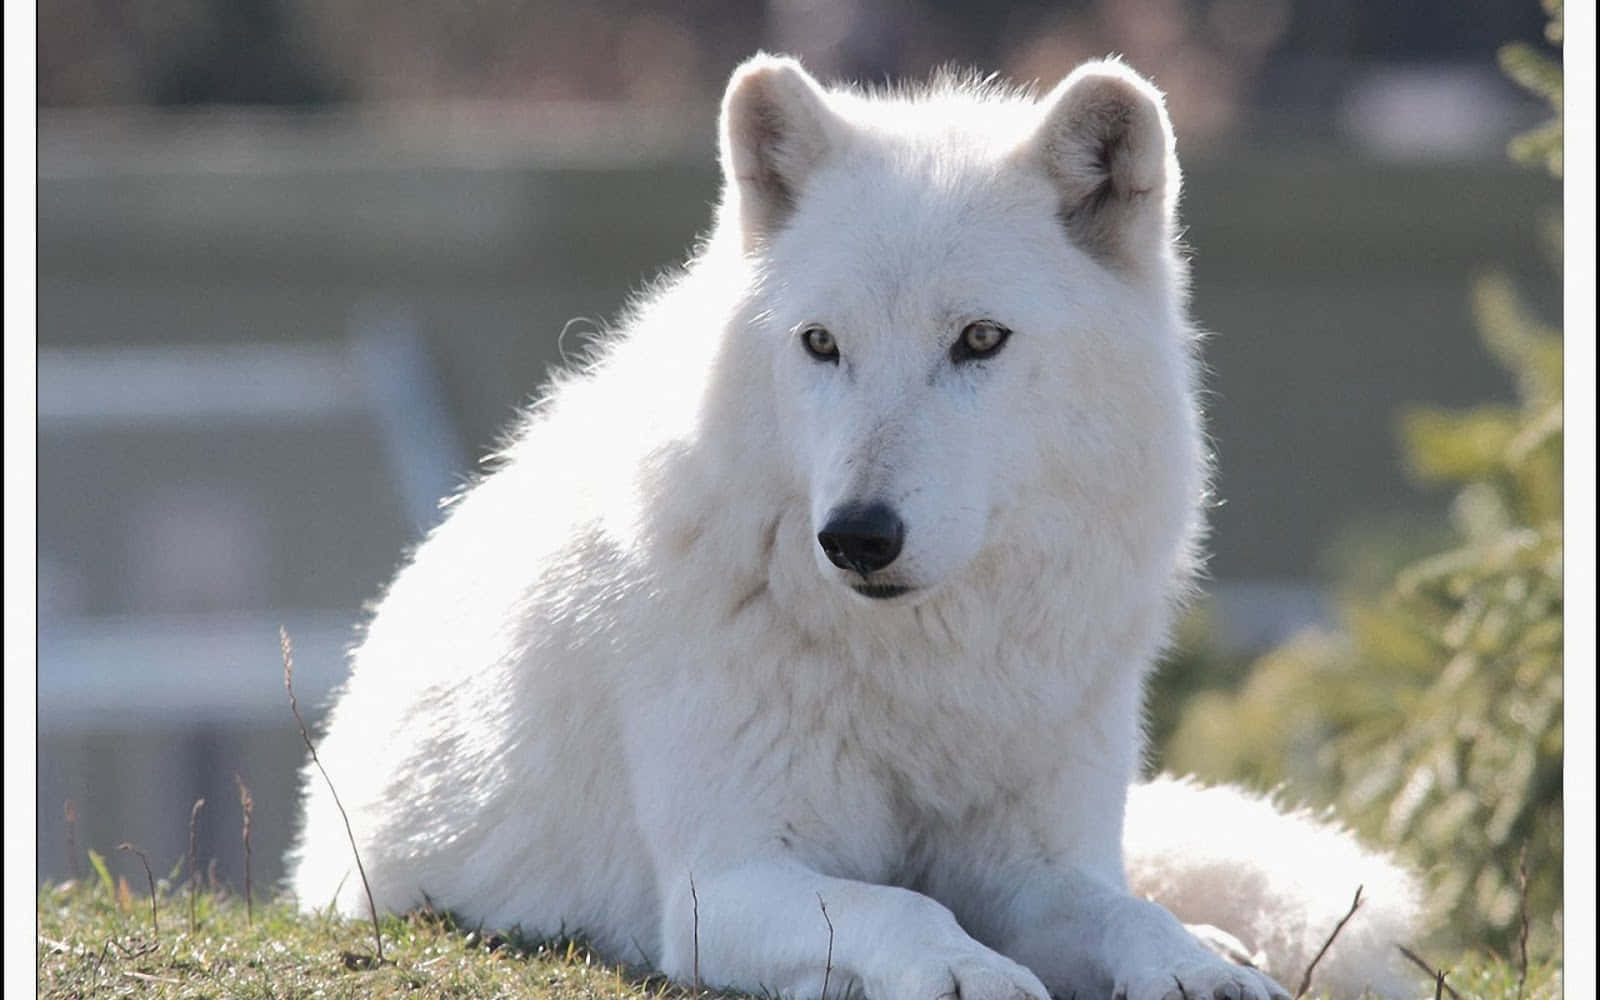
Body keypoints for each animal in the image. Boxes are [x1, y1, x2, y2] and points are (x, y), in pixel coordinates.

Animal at [294, 56, 1420, 998]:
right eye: (821, 343)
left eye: (979, 340)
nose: (856, 538)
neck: (920, 668)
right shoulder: (723, 882)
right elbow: (903, 904)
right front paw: (972, 973)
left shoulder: (1033, 865)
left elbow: (1123, 909)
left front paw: (1196, 967)